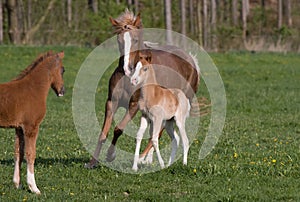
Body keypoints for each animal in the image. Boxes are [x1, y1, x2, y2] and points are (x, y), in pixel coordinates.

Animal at [0, 50, 65, 194]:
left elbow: (18, 152)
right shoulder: (31, 127)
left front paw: (17, 184)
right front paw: (34, 187)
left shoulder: (19, 128)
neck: (33, 89)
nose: (63, 91)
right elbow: (31, 153)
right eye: (63, 70)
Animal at [85, 8, 199, 168]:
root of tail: (190, 59)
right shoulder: (111, 102)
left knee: (158, 133)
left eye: (135, 40)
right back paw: (148, 159)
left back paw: (141, 159)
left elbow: (118, 128)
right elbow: (103, 133)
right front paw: (92, 162)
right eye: (119, 40)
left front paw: (110, 155)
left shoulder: (133, 105)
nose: (127, 68)